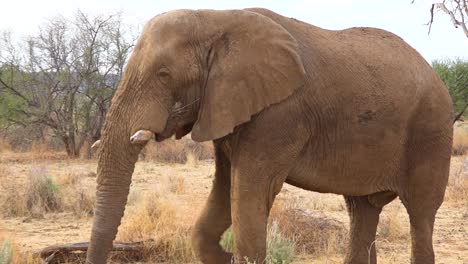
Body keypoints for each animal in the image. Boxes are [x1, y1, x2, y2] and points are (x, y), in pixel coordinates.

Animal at [84, 7, 454, 264]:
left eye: (163, 74)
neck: (216, 20)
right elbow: (222, 196)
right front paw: (226, 257)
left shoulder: (279, 116)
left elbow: (249, 195)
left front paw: (237, 255)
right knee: (362, 210)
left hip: (432, 131)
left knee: (420, 214)